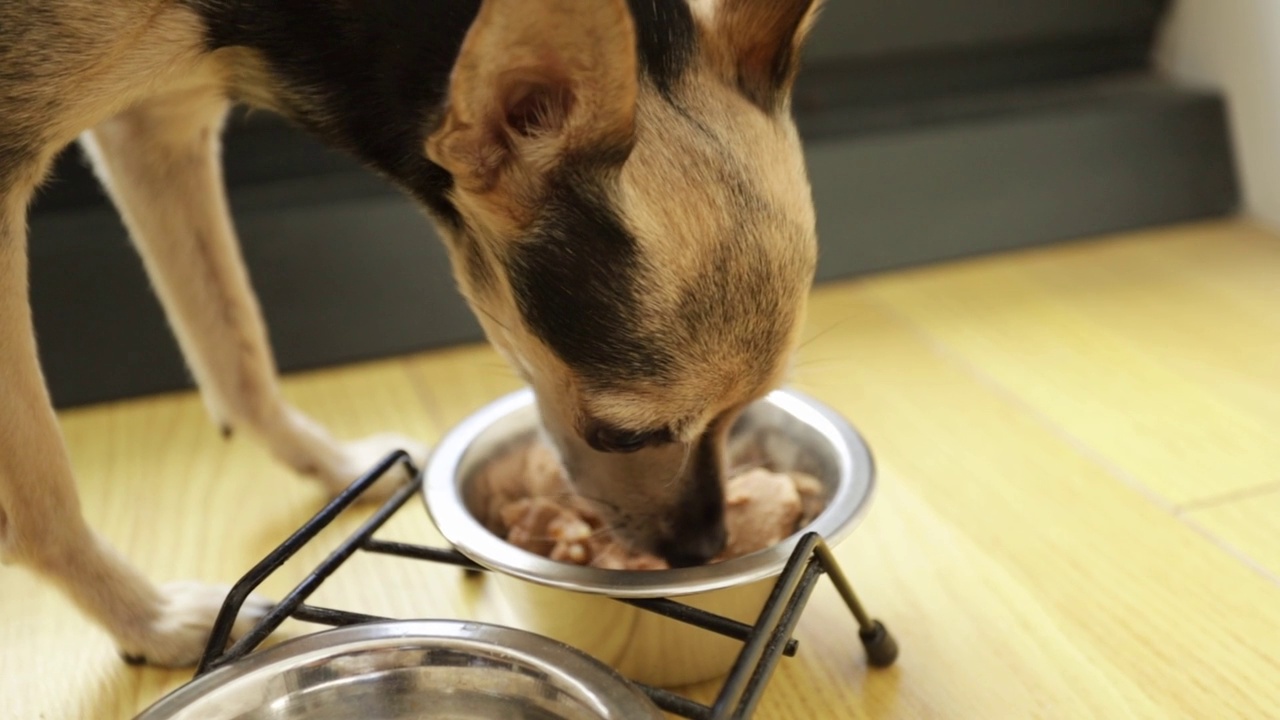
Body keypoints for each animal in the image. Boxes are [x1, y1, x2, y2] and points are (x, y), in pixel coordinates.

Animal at [0, 0, 819, 661]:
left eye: (747, 413)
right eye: (622, 436)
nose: (705, 548)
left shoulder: (152, 124)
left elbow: (236, 346)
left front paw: (329, 465)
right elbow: (42, 490)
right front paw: (151, 620)